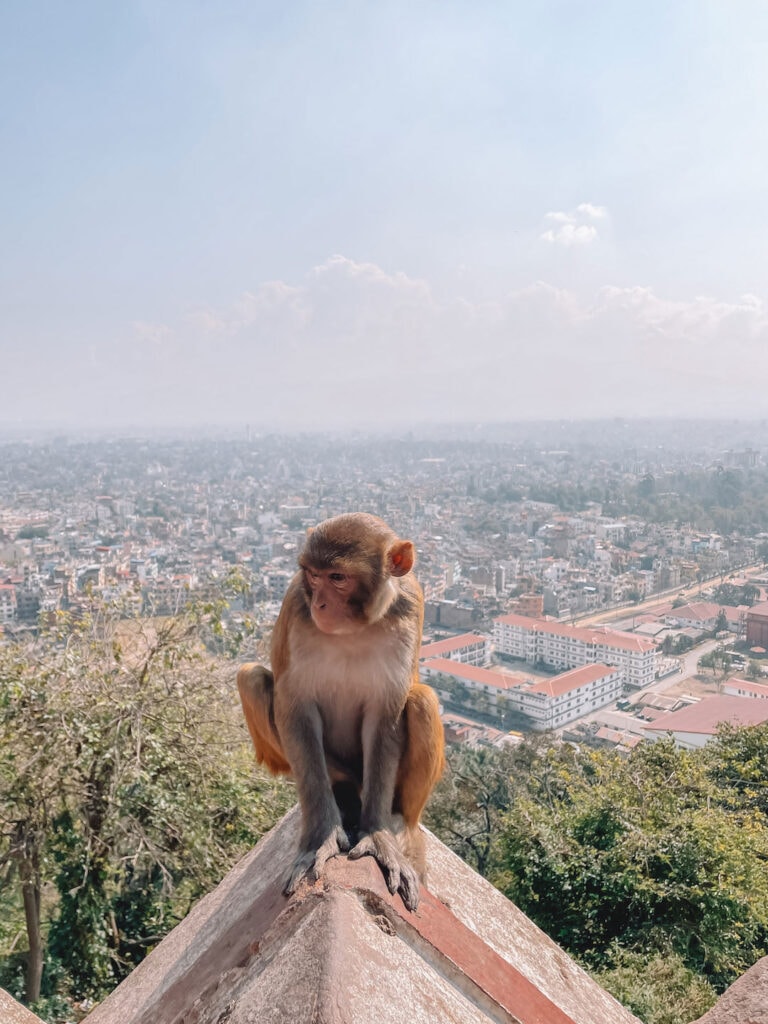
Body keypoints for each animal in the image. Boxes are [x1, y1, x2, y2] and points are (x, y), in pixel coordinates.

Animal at [237, 512, 444, 911]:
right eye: (312, 575)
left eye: (337, 577)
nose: (319, 604)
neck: (355, 627)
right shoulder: (295, 605)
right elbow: (295, 708)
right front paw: (323, 837)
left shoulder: (410, 606)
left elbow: (386, 717)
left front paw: (378, 836)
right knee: (250, 678)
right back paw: (344, 793)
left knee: (422, 700)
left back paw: (403, 824)